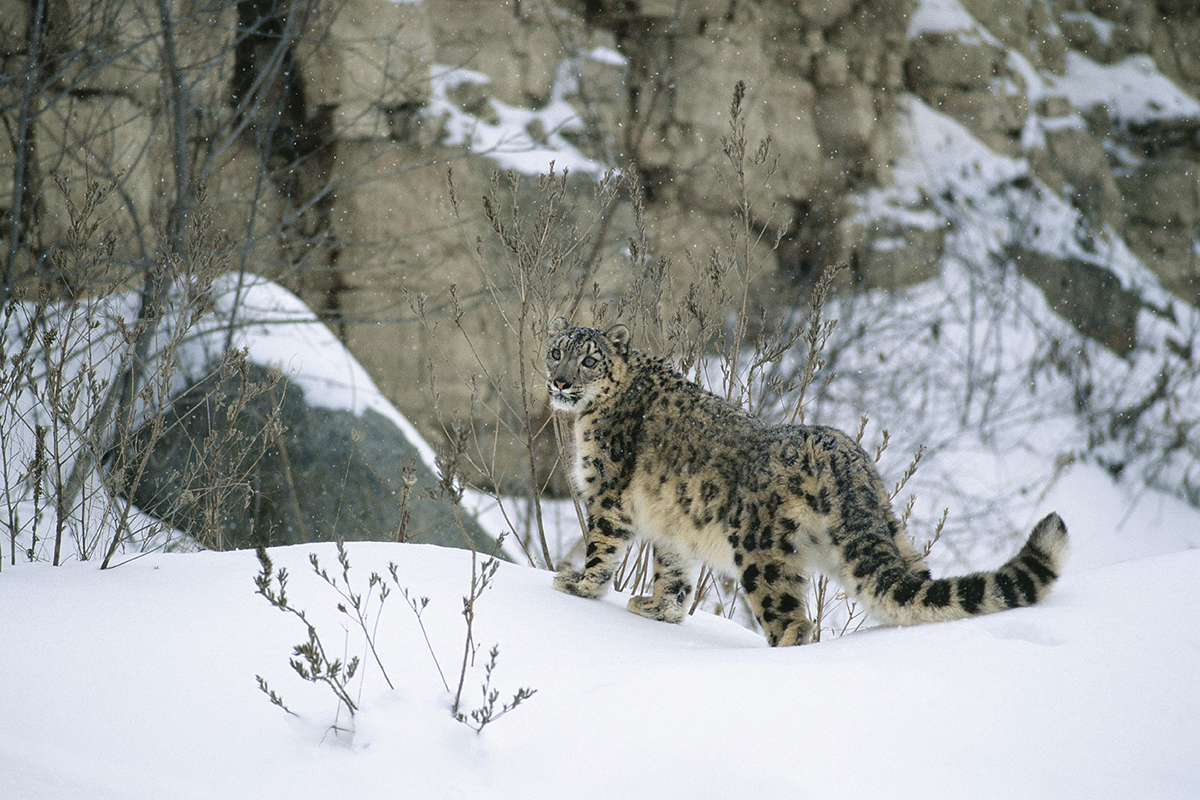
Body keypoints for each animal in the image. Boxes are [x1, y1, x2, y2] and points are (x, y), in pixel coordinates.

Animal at [544, 316, 1070, 647]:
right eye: (555, 352)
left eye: (588, 359)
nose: (560, 382)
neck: (586, 417)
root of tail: (845, 455)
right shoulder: (669, 524)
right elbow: (674, 571)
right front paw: (658, 609)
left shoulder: (607, 493)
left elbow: (602, 547)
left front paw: (578, 585)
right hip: (886, 536)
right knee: (910, 590)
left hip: (762, 556)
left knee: (793, 624)